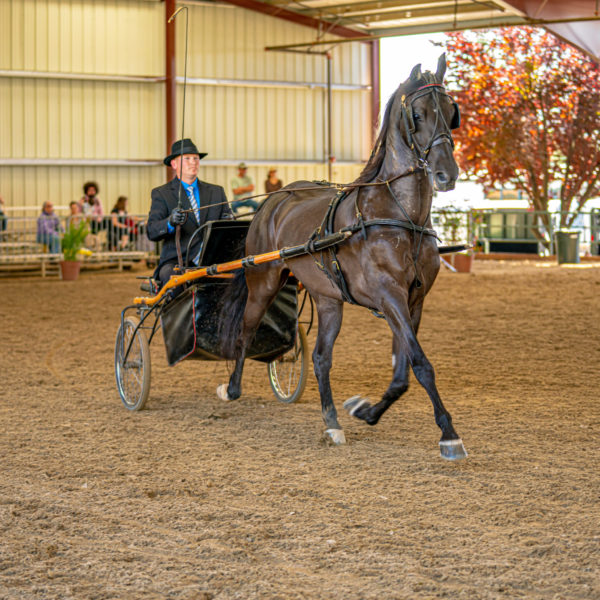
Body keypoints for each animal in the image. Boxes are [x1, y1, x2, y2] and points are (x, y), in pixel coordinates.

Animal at [217, 55, 468, 460]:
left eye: (450, 111)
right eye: (417, 114)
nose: (448, 175)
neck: (401, 217)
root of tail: (275, 198)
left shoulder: (413, 300)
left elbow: (402, 372)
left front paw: (365, 411)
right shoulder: (389, 295)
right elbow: (421, 364)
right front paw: (449, 435)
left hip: (328, 298)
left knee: (321, 357)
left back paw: (332, 422)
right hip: (263, 282)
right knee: (245, 331)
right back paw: (232, 388)